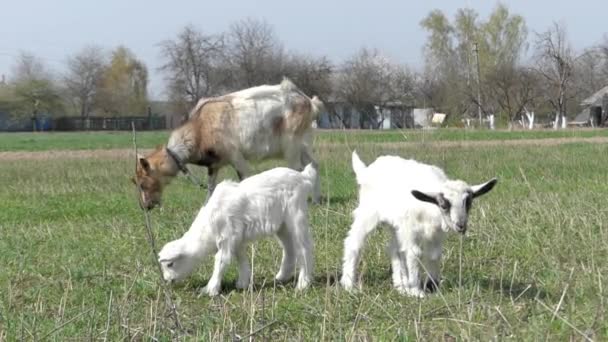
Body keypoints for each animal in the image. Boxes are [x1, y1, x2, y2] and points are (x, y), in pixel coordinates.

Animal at [133, 78, 324, 210]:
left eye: (142, 183)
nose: (146, 207)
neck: (200, 128)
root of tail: (309, 102)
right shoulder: (214, 164)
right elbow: (211, 187)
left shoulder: (235, 156)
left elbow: (245, 178)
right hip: (303, 143)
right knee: (313, 165)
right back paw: (316, 200)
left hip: (291, 144)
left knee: (297, 169)